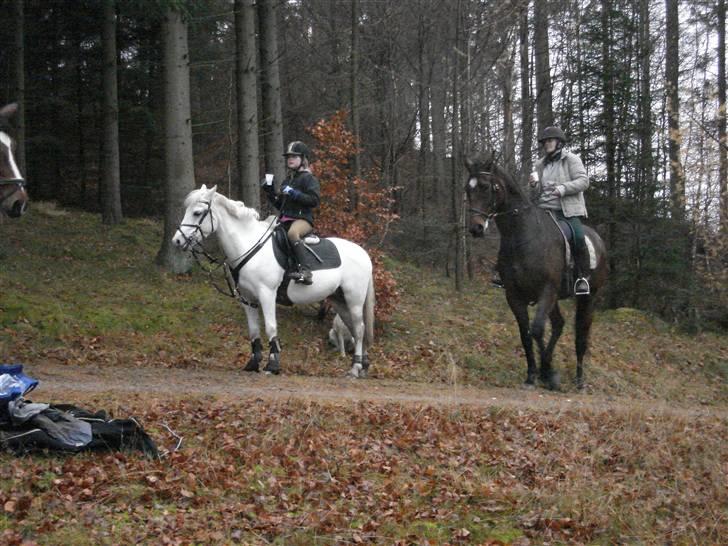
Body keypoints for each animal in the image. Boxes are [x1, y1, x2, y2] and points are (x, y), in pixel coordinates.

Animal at [172, 185, 375, 378]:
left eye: (197, 213)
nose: (177, 241)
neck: (249, 245)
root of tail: (363, 253)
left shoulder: (266, 294)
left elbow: (270, 328)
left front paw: (273, 365)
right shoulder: (248, 299)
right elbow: (254, 331)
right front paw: (253, 364)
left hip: (354, 300)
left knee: (359, 329)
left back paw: (356, 368)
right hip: (339, 300)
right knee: (355, 328)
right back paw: (363, 365)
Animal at [465, 153, 608, 390]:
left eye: (485, 187)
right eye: (467, 189)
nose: (475, 228)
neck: (522, 236)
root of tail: (598, 239)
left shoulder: (546, 290)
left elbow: (538, 329)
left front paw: (548, 373)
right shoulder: (514, 295)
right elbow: (526, 334)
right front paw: (535, 374)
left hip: (588, 297)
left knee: (581, 337)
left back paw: (579, 380)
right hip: (556, 298)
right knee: (559, 325)